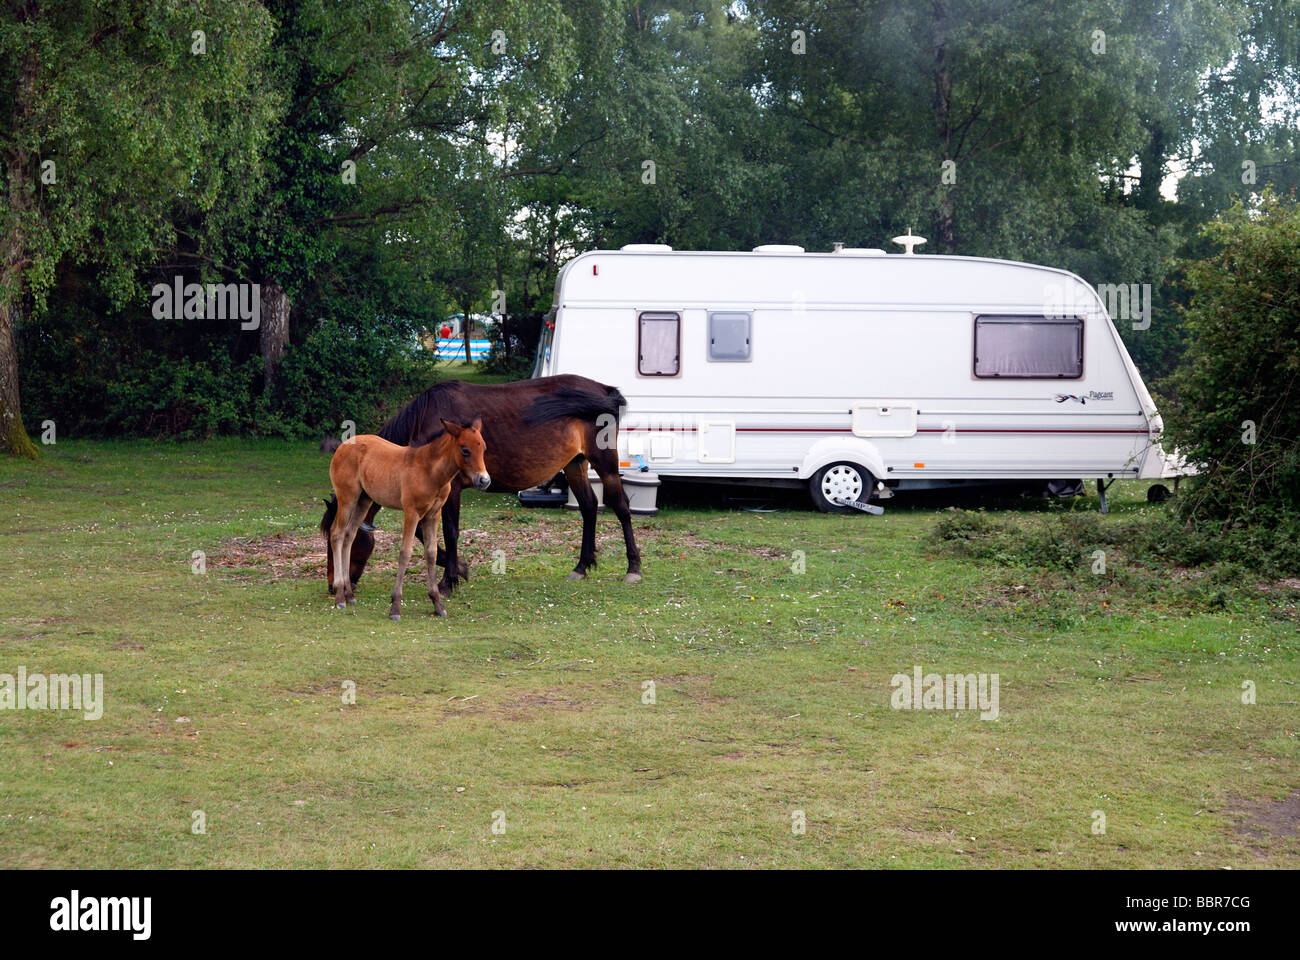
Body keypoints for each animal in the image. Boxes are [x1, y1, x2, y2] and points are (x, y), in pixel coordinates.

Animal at [322, 374, 642, 590]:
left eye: (338, 542)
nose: (332, 584)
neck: (428, 422)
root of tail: (605, 391)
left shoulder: (448, 491)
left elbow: (449, 532)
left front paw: (449, 580)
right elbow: (425, 534)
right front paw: (459, 569)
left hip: (605, 464)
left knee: (621, 507)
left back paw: (633, 567)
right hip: (575, 464)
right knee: (588, 507)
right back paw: (582, 567)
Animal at [327, 421, 488, 616]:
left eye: (484, 448)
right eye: (465, 450)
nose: (484, 480)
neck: (429, 471)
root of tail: (342, 446)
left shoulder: (433, 515)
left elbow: (431, 552)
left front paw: (437, 603)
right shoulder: (411, 513)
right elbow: (405, 553)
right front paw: (395, 606)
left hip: (364, 501)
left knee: (349, 535)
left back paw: (349, 594)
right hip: (347, 498)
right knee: (337, 534)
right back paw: (340, 596)